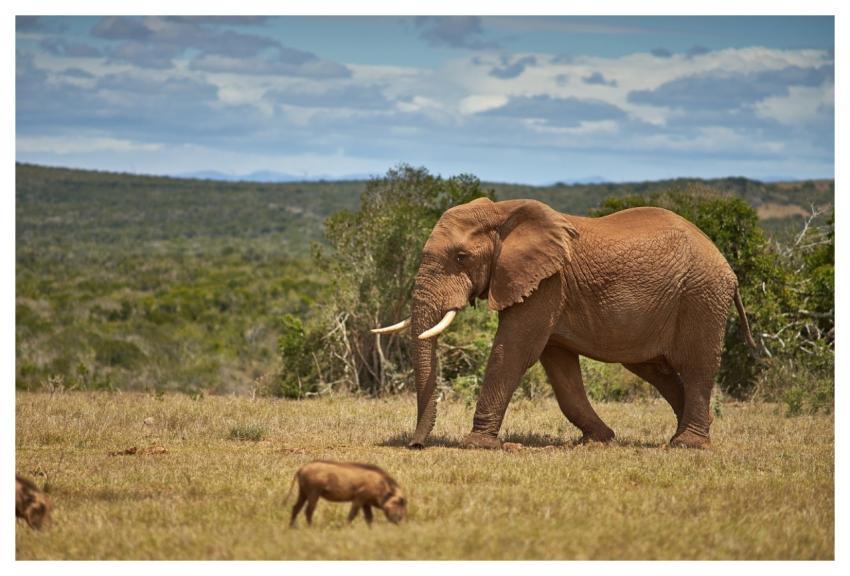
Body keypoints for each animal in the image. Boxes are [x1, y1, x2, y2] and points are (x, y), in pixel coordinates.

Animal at [373, 197, 756, 450]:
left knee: (696, 366)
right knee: (654, 370)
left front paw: (478, 444)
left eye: (461, 257)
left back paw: (688, 444)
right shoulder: (547, 287)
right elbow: (559, 369)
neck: (503, 212)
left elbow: (514, 352)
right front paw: (599, 440)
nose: (416, 446)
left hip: (701, 296)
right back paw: (688, 434)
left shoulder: (548, 282)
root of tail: (724, 261)